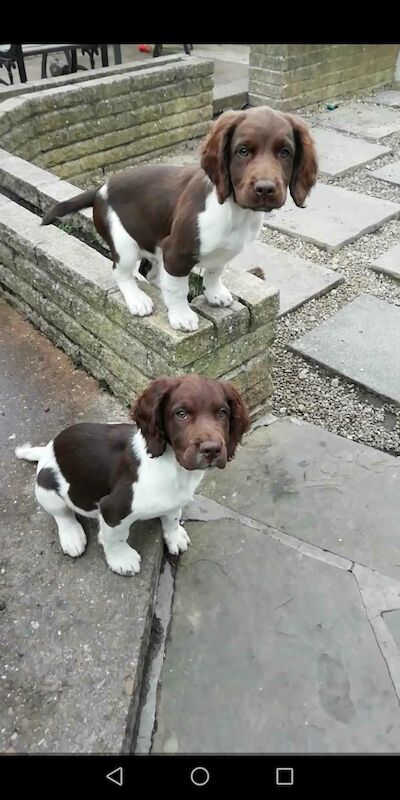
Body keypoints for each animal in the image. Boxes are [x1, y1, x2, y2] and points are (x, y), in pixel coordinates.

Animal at [15, 376, 250, 576]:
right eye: (181, 413)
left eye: (222, 413)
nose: (212, 450)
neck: (174, 468)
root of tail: (48, 449)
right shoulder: (113, 509)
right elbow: (116, 538)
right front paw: (121, 559)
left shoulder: (176, 499)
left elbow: (172, 517)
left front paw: (175, 535)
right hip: (47, 486)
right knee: (62, 514)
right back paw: (72, 536)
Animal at [42, 105, 318, 332]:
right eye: (242, 151)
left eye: (285, 152)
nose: (265, 189)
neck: (234, 211)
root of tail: (100, 189)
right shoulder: (176, 253)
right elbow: (178, 288)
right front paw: (181, 316)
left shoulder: (223, 252)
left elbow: (214, 271)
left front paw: (214, 294)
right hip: (124, 243)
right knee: (122, 273)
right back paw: (138, 299)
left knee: (150, 272)